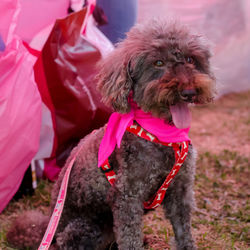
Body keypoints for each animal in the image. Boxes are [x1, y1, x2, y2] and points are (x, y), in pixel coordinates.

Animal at [7, 18, 215, 249]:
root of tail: (47, 229)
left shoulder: (180, 191)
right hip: (87, 226)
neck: (159, 135)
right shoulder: (127, 196)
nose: (189, 92)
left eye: (190, 59)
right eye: (158, 63)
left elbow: (184, 233)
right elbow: (129, 238)